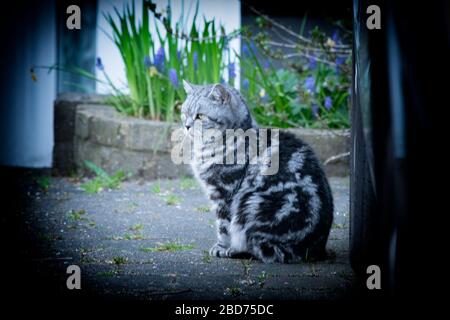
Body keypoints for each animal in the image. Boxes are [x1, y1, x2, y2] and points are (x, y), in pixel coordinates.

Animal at [181, 80, 332, 262]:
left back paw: (235, 250)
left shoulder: (225, 193)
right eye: (184, 113)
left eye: (200, 116)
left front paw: (221, 247)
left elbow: (224, 226)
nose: (186, 126)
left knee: (259, 247)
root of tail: (316, 249)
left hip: (251, 206)